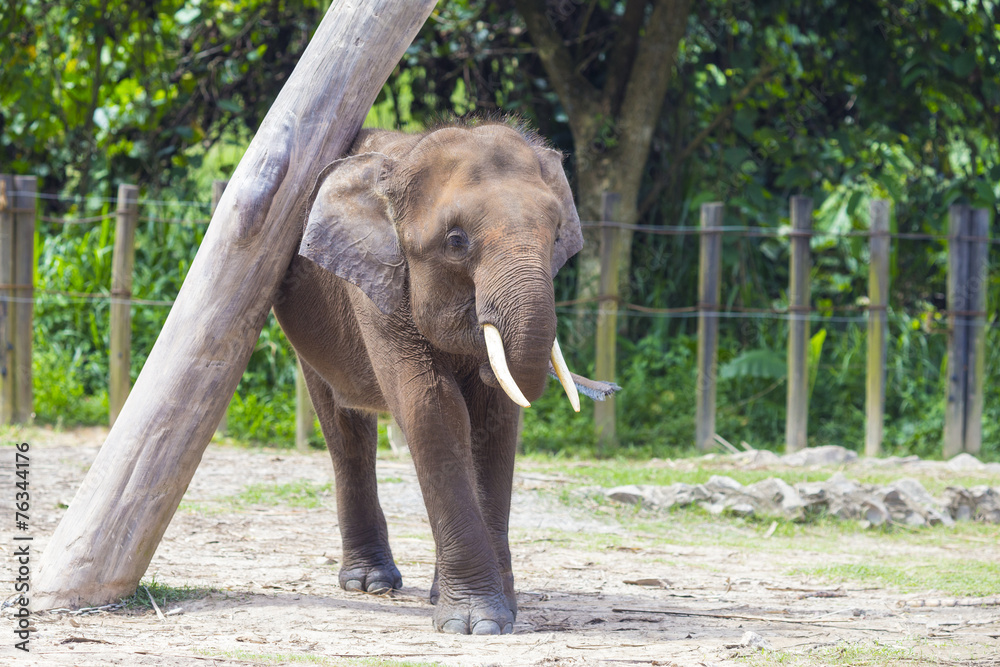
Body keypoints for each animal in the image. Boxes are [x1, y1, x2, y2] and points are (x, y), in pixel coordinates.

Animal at [272, 121, 617, 635]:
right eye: (456, 241)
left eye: (557, 234)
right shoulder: (378, 292)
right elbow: (432, 409)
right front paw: (478, 624)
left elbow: (495, 419)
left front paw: (501, 612)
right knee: (344, 428)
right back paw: (369, 584)